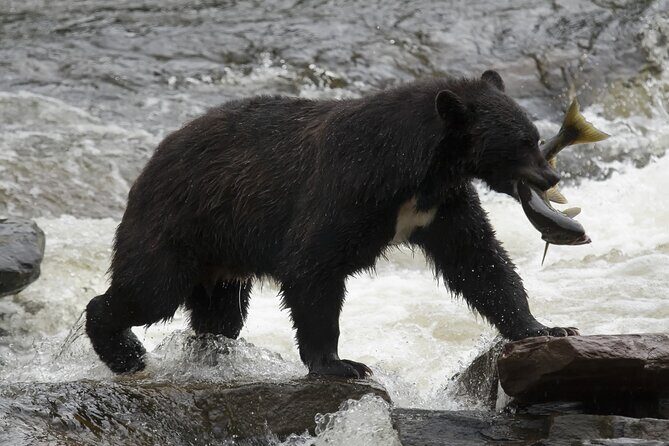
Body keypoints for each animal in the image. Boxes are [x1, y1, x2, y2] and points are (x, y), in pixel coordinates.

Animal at [85, 70, 578, 378]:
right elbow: (313, 267)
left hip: (222, 255)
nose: (551, 177)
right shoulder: (348, 189)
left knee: (220, 315)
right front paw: (340, 363)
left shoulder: (442, 206)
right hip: (180, 224)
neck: (420, 170)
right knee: (150, 290)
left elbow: (479, 262)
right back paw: (124, 351)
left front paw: (547, 328)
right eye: (524, 141)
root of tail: (152, 160)